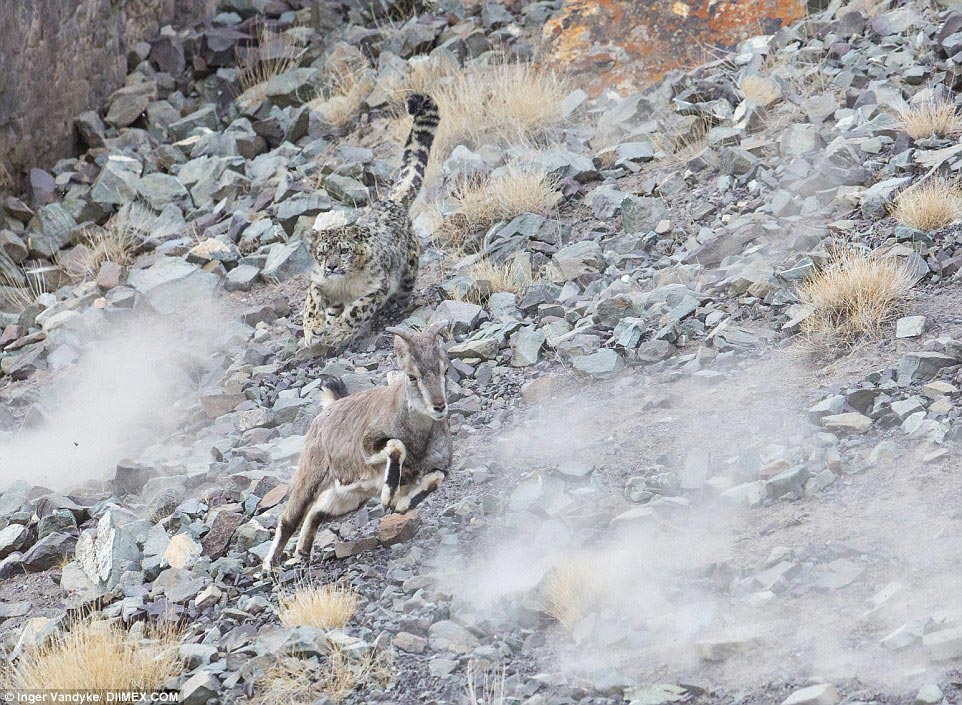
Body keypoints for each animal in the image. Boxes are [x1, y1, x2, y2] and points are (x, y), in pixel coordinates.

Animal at [300, 93, 438, 354]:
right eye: (322, 253)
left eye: (344, 250)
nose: (332, 267)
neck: (343, 285)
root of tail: (390, 201)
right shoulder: (318, 281)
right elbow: (312, 302)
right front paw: (314, 329)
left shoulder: (375, 288)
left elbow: (356, 311)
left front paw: (340, 332)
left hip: (407, 273)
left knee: (401, 294)